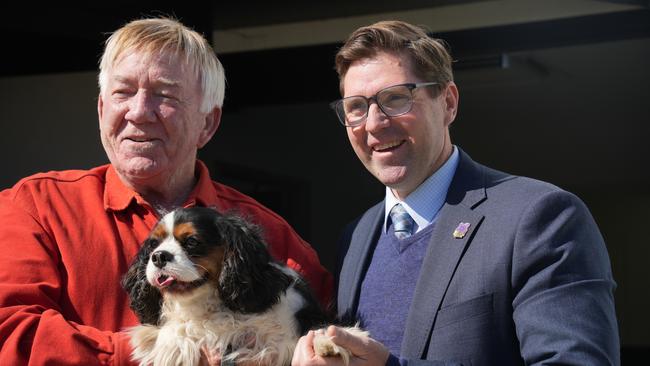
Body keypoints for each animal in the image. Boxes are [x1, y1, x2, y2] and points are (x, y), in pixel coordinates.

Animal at [121, 207, 364, 366]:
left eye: (192, 241)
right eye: (154, 244)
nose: (158, 256)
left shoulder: (300, 314)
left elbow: (316, 327)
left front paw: (328, 343)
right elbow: (179, 328)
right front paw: (168, 341)